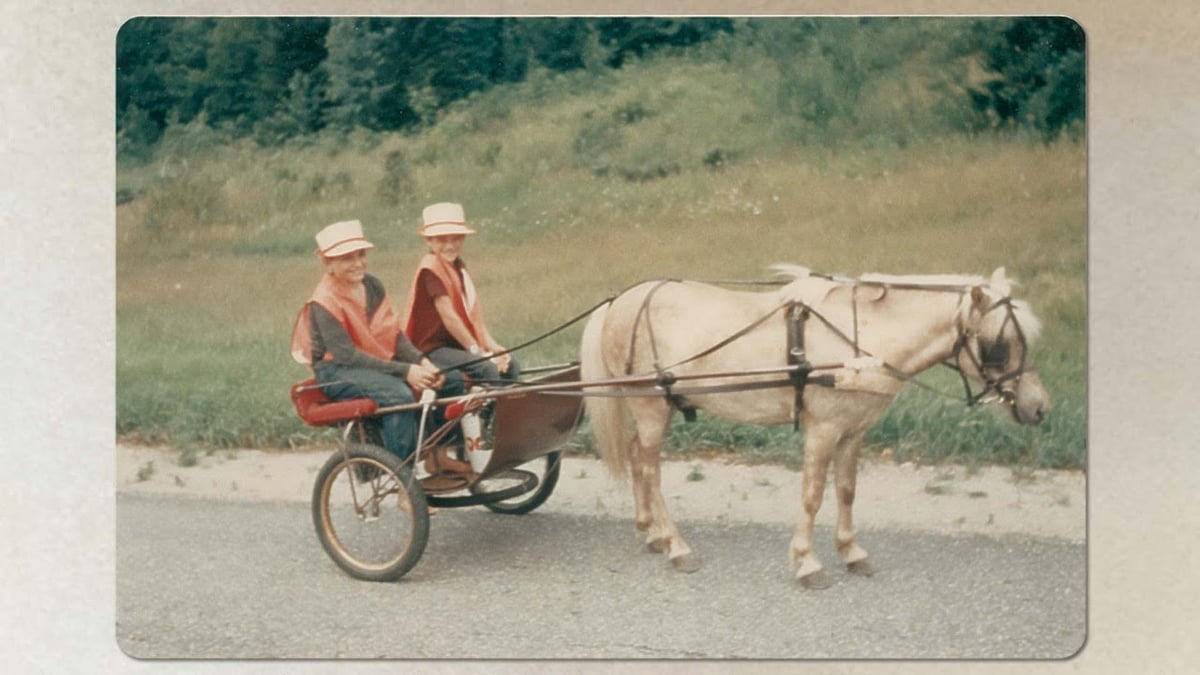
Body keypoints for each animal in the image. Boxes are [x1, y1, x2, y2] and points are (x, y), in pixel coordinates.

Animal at [580, 265, 1051, 586]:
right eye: (998, 346)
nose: (1040, 408)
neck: (860, 344)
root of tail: (620, 301)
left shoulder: (853, 431)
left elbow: (846, 491)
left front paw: (851, 552)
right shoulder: (822, 429)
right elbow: (812, 496)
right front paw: (807, 562)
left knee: (639, 460)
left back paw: (651, 533)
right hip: (650, 405)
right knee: (650, 468)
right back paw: (676, 546)